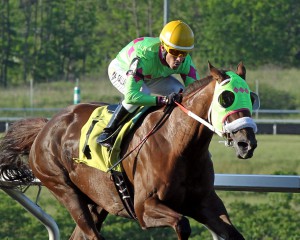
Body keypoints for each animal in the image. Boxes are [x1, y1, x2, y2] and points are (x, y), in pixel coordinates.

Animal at [0, 62, 258, 239]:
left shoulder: (205, 203)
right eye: (226, 98)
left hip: (99, 199)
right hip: (63, 188)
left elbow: (233, 233)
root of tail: (46, 127)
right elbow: (182, 224)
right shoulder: (144, 207)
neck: (180, 146)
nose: (247, 143)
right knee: (91, 233)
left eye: (252, 97)